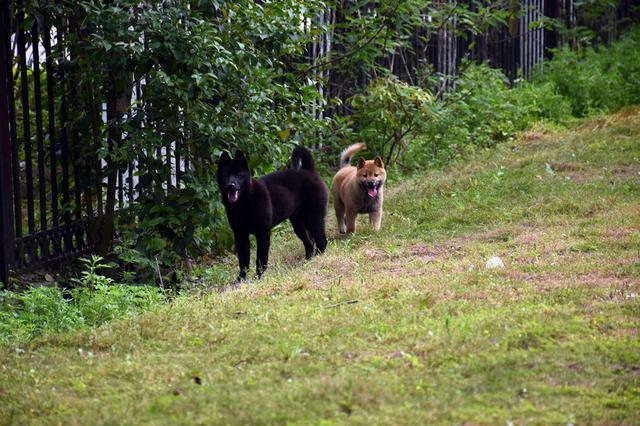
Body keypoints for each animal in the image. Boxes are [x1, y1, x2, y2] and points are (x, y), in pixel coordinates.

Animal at [216, 146, 328, 282]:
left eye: (238, 175)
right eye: (226, 175)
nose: (230, 185)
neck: (244, 202)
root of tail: (309, 170)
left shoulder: (262, 233)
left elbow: (260, 258)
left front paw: (259, 277)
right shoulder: (240, 234)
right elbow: (243, 260)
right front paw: (241, 279)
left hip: (314, 218)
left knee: (322, 241)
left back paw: (319, 260)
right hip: (299, 224)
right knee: (310, 243)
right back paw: (307, 262)